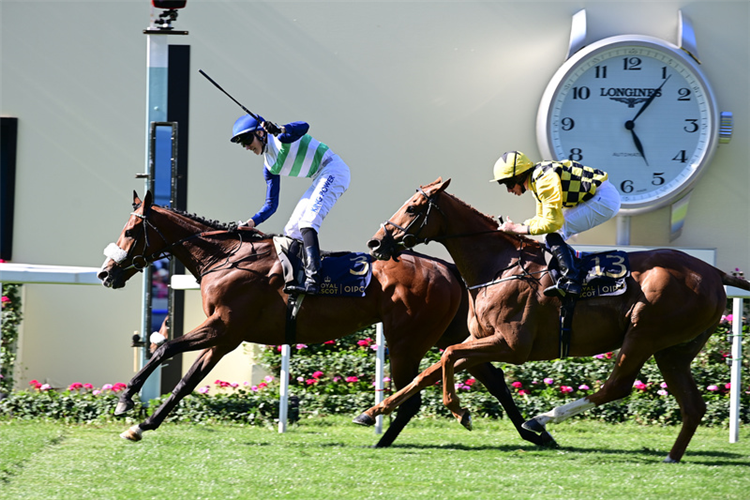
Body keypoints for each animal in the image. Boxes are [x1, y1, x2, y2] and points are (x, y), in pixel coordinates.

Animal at [98, 191, 560, 446]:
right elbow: (185, 382)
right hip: (448, 333)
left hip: (407, 340)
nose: (105, 273)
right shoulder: (224, 337)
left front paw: (125, 401)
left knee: (413, 394)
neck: (226, 257)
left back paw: (381, 435)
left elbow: (166, 350)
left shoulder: (223, 327)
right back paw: (536, 433)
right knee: (492, 377)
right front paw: (144, 423)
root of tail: (448, 269)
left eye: (131, 231)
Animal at [360, 178, 750, 462]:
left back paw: (540, 418)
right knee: (693, 406)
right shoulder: (480, 340)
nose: (376, 242)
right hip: (674, 350)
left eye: (413, 208)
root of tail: (712, 272)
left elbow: (447, 356)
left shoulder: (511, 345)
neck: (497, 266)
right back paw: (672, 456)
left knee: (617, 386)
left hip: (644, 334)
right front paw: (372, 411)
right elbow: (432, 369)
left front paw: (459, 411)